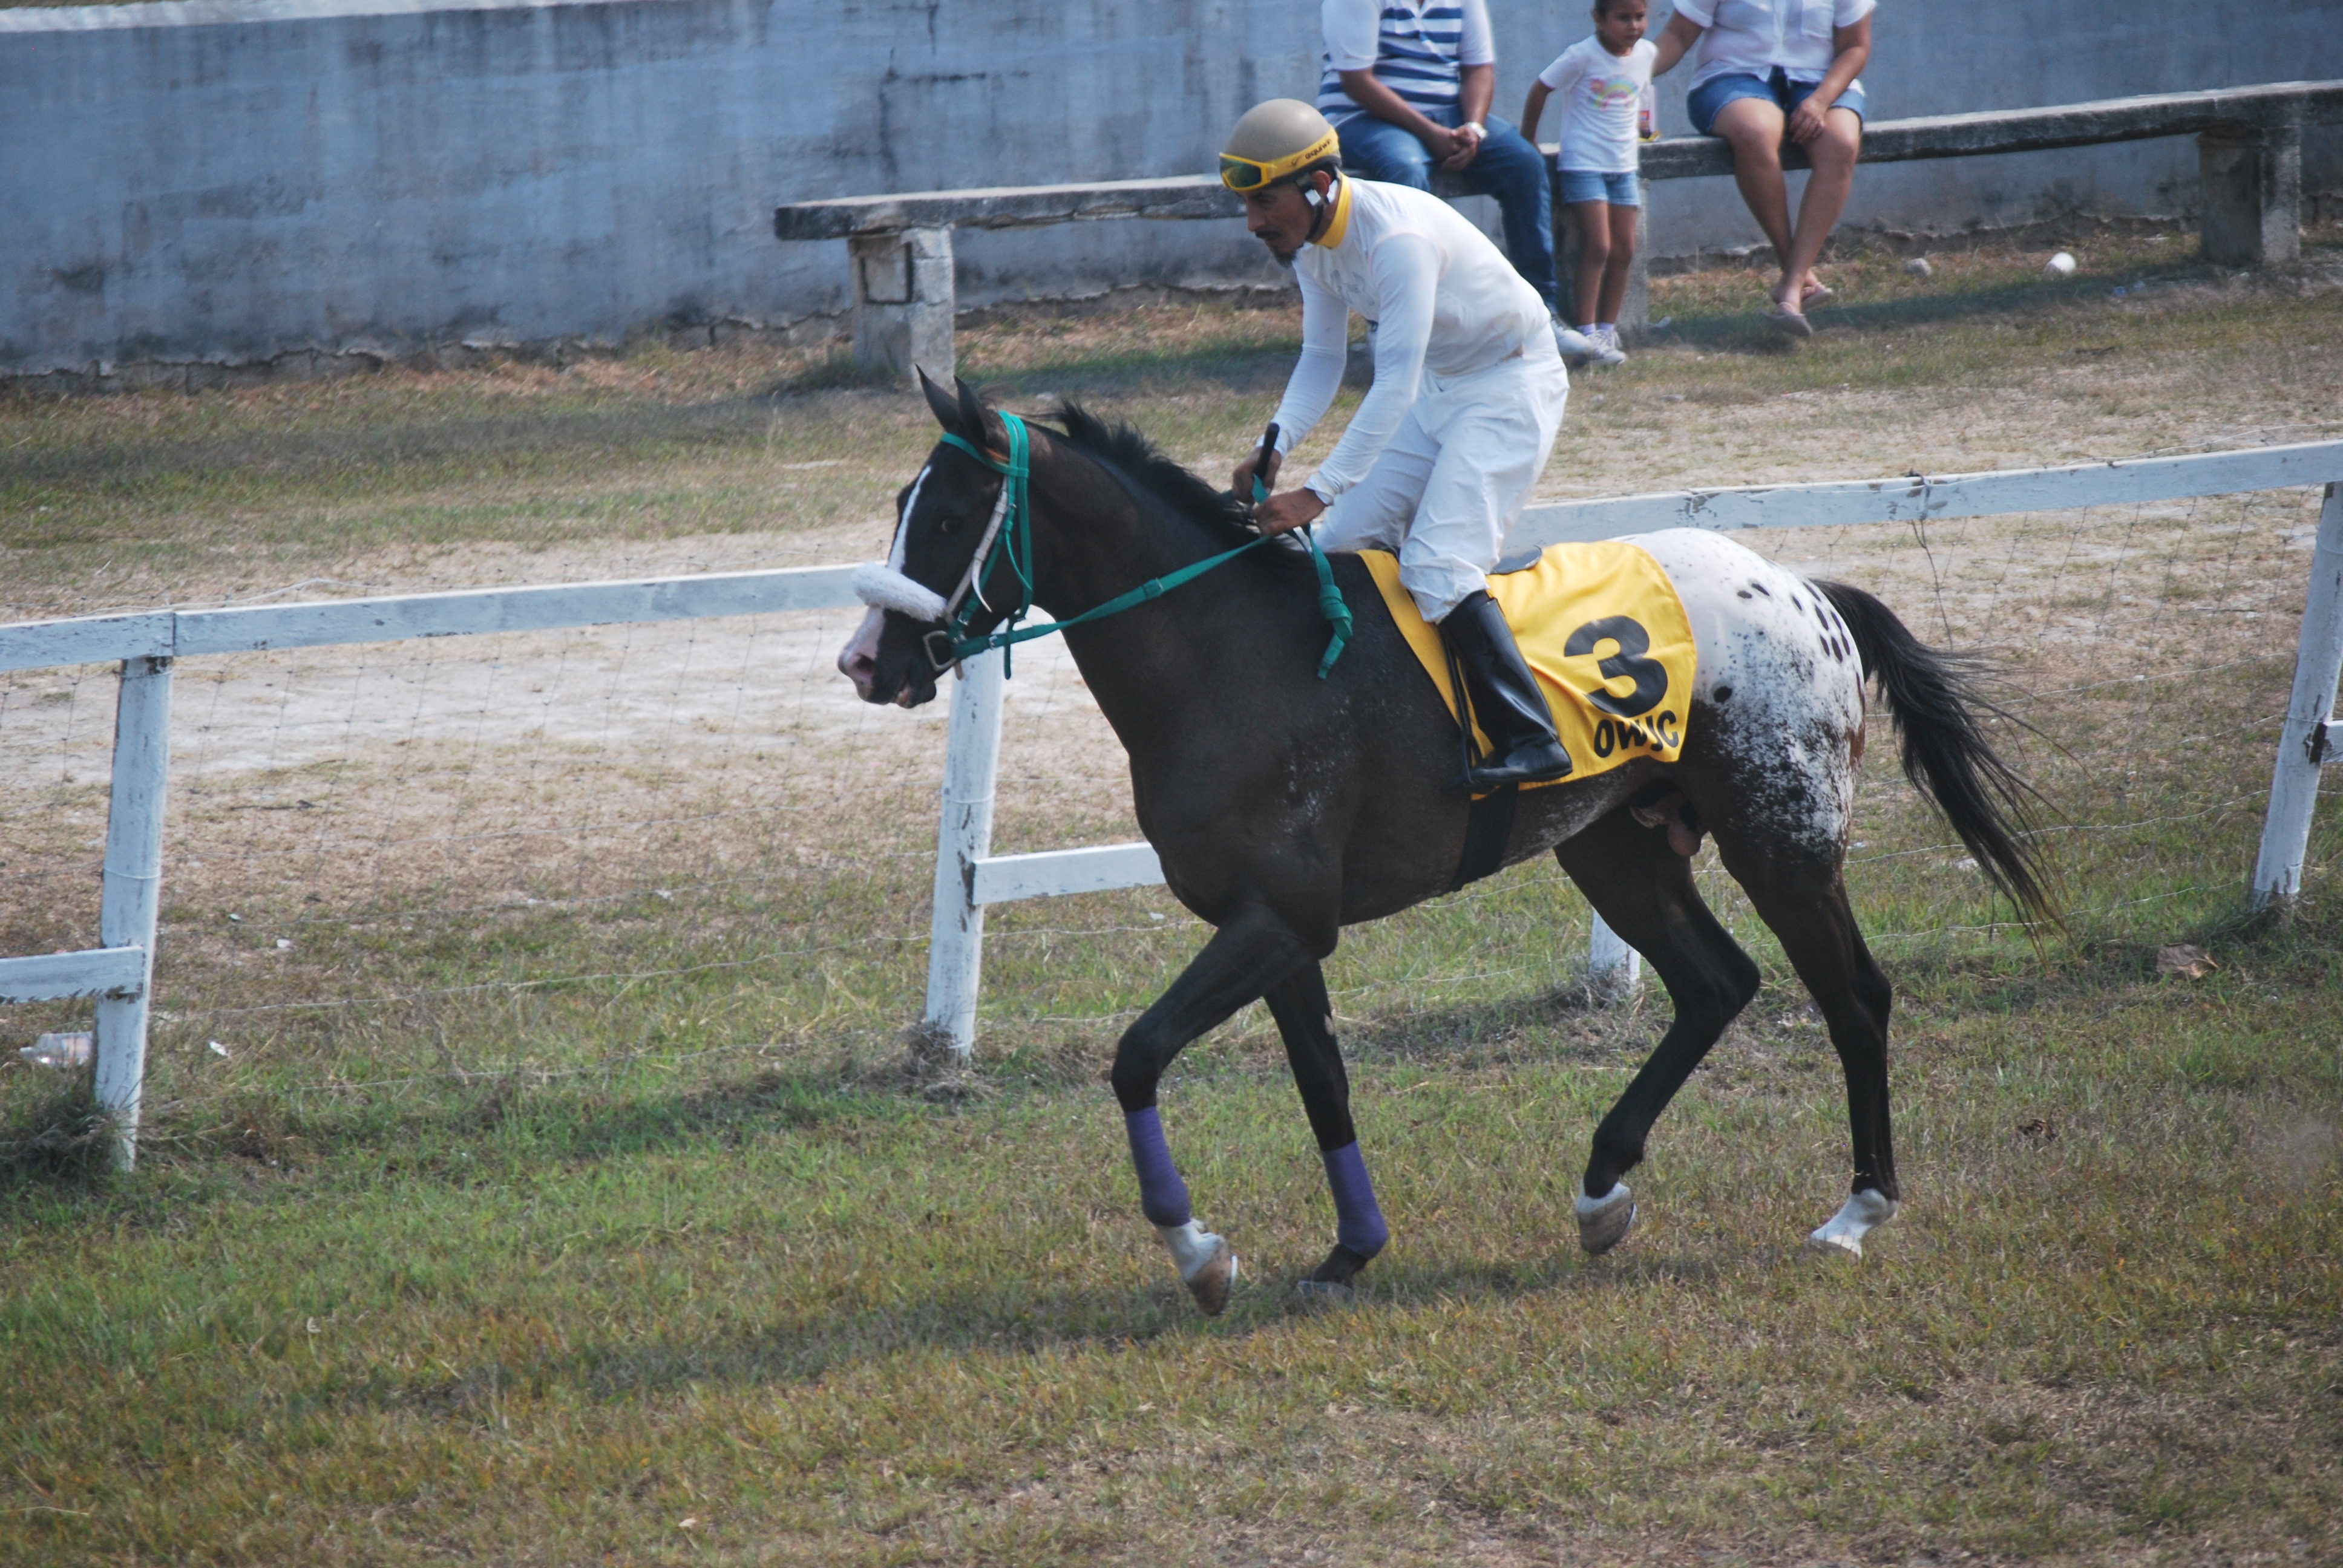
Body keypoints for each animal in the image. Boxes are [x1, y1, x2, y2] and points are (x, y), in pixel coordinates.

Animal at [834, 374, 2043, 1312]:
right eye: (900, 503)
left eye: (946, 517)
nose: (863, 662)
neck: (1228, 654)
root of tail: (1804, 590)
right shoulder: (1279, 930)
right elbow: (1323, 1083)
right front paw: (1348, 1250)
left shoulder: (1277, 919)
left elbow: (1137, 1053)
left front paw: (1199, 1252)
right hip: (1615, 847)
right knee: (1716, 983)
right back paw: (1601, 1191)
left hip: (1781, 836)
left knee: (1853, 997)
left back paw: (1857, 1209)